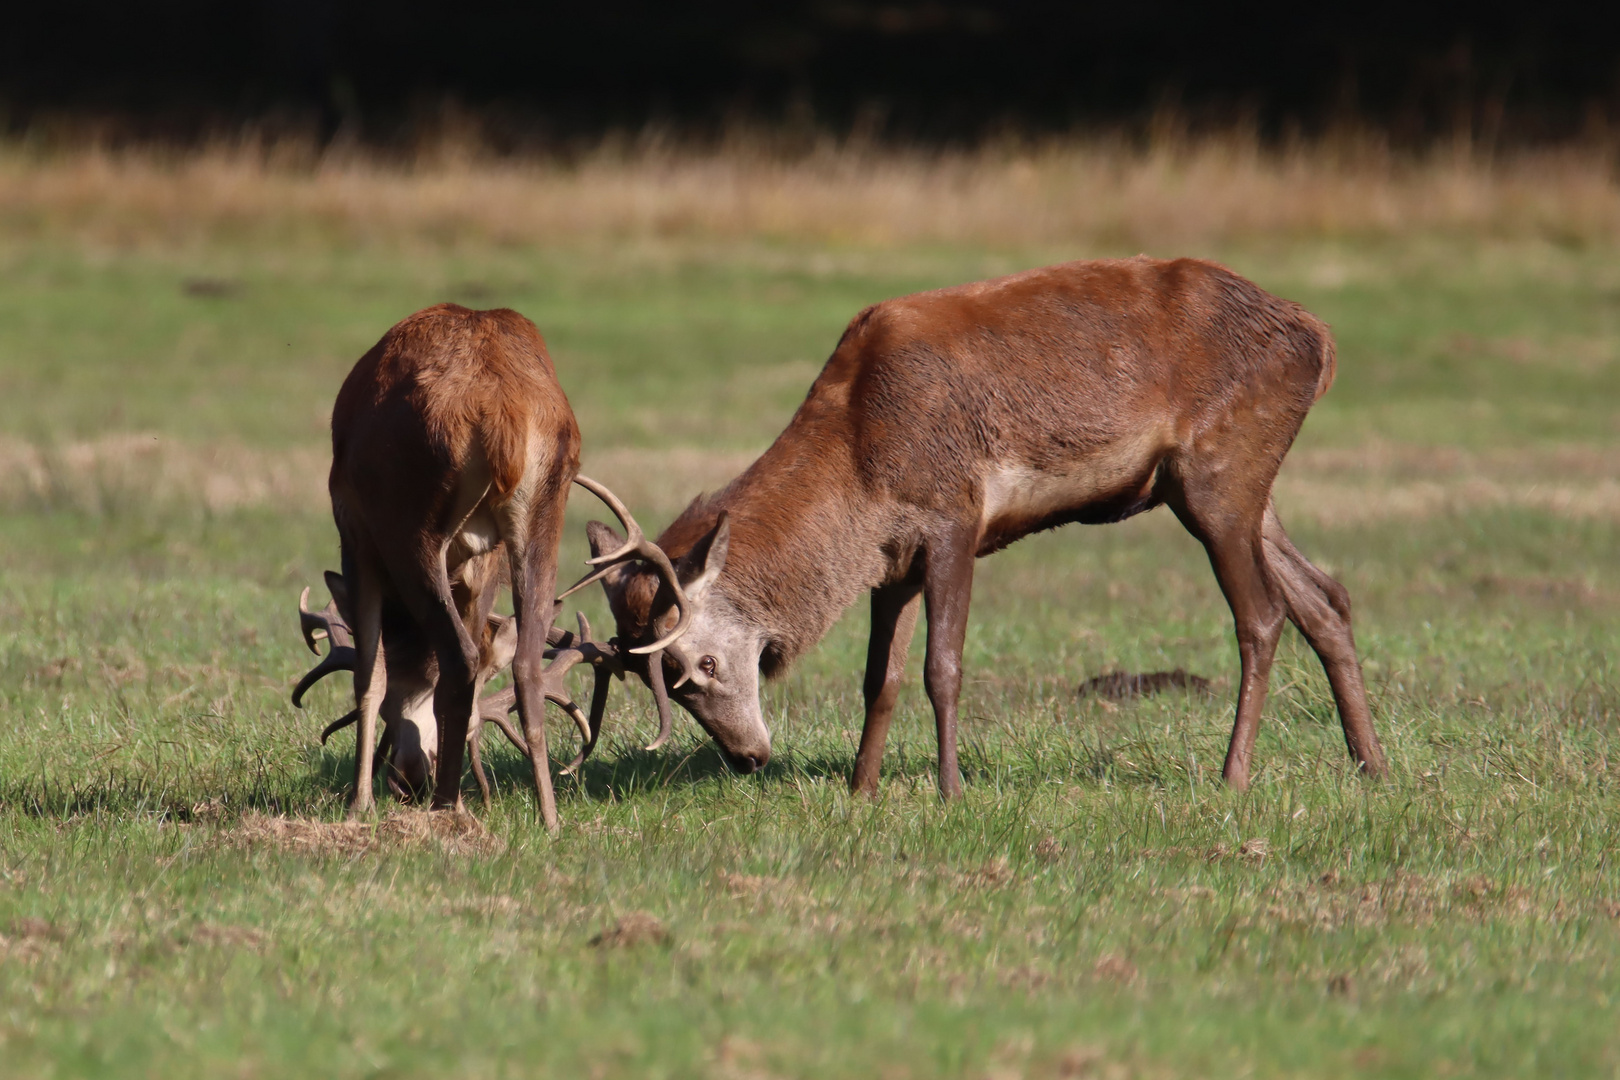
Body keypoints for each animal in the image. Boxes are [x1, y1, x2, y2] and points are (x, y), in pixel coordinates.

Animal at [325, 302, 686, 829]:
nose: (405, 780)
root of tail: (502, 413)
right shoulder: (482, 566)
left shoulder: (355, 535)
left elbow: (370, 675)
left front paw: (358, 805)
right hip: (544, 511)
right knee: (524, 662)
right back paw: (547, 816)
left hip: (409, 526)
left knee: (459, 658)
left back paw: (445, 807)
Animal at [586, 254, 1393, 793]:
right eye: (662, 682)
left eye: (701, 665)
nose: (748, 758)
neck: (860, 465)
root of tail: (1320, 341)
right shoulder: (892, 560)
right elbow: (878, 678)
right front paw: (861, 788)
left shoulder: (954, 516)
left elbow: (941, 668)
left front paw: (949, 790)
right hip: (1239, 488)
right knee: (1325, 596)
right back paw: (1372, 764)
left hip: (1218, 473)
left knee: (1263, 613)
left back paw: (1233, 775)